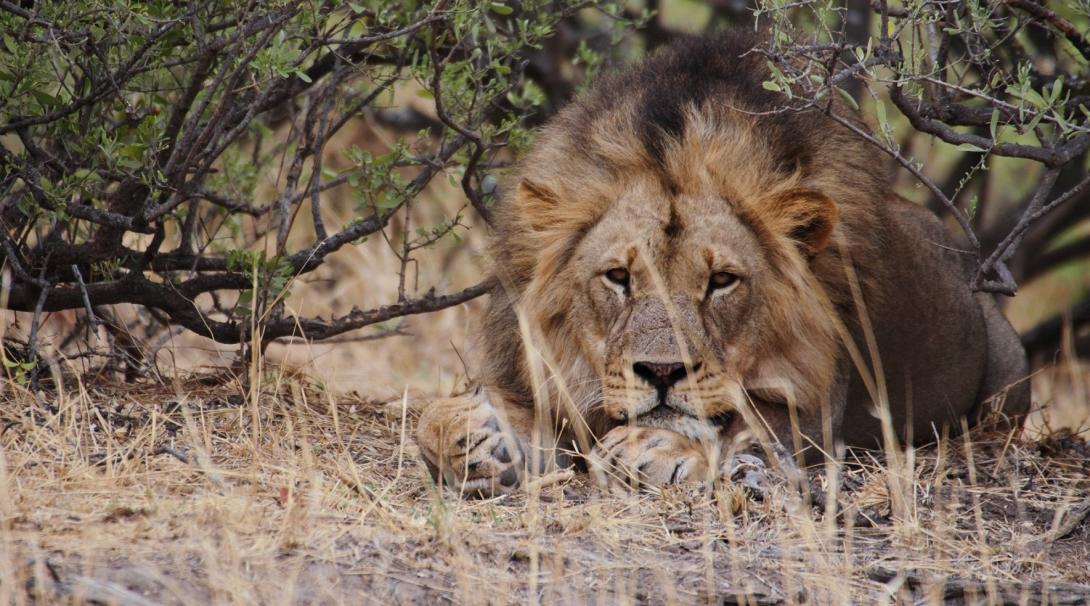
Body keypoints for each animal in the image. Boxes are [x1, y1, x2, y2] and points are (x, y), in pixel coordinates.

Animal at [416, 33, 1030, 496]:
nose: (662, 372)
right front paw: (476, 441)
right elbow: (431, 418)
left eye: (722, 282)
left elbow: (746, 421)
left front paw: (653, 444)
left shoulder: (815, 408)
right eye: (618, 278)